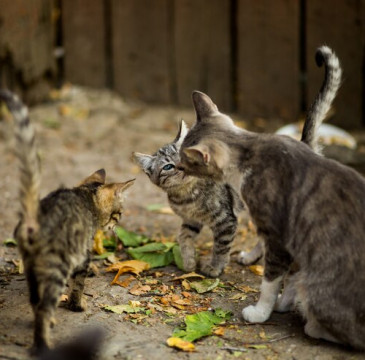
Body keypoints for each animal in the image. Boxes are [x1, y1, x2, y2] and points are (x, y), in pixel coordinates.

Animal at [0, 90, 134, 354]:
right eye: (119, 213)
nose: (116, 226)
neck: (85, 196)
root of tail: (34, 218)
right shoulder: (82, 253)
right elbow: (79, 284)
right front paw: (77, 305)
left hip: (31, 266)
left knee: (36, 300)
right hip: (56, 265)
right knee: (43, 306)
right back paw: (43, 345)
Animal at [132, 46, 340, 278]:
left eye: (185, 156)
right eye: (168, 166)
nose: (181, 167)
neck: (186, 196)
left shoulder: (225, 220)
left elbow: (220, 247)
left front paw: (214, 268)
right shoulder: (191, 221)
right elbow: (183, 236)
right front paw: (188, 262)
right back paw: (252, 257)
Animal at [177, 47, 364, 348]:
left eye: (184, 163)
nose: (177, 168)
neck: (250, 148)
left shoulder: (280, 234)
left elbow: (270, 281)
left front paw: (260, 311)